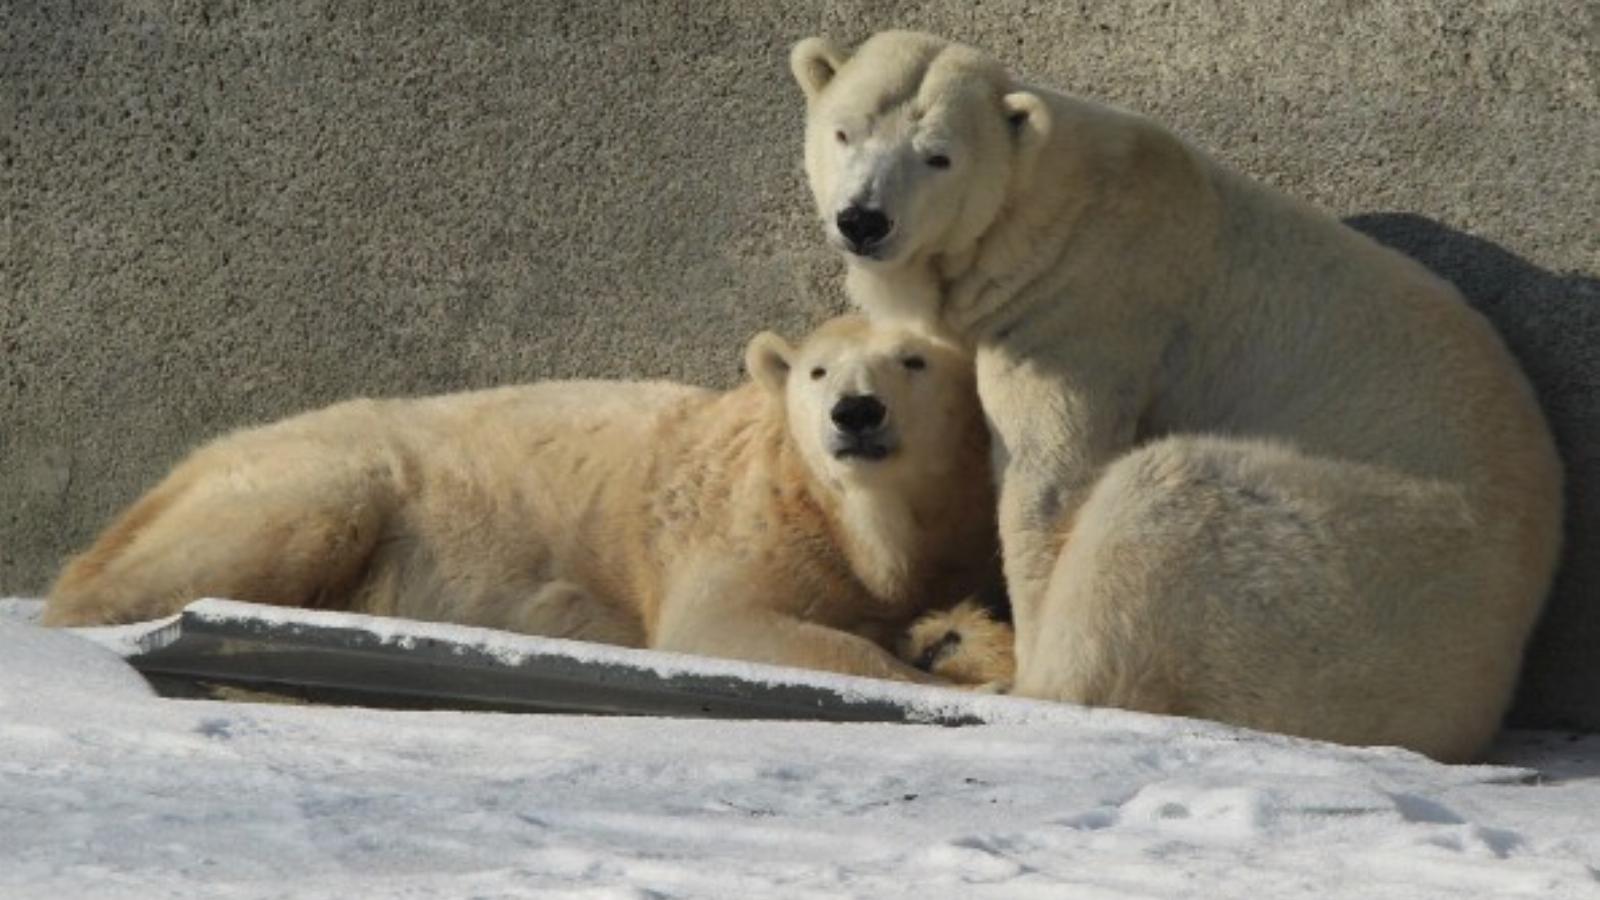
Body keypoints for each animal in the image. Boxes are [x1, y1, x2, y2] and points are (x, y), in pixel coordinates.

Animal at [46, 315, 998, 679]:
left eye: (914, 360)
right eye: (818, 370)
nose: (856, 412)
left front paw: (950, 638)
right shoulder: (750, 523)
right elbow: (727, 624)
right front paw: (922, 660)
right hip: (326, 473)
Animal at [793, 29, 1568, 755]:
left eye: (938, 157)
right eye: (846, 131)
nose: (863, 219)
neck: (1052, 209)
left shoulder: (1083, 306)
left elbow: (1049, 479)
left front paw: (1022, 656)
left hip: (1362, 571)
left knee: (1165, 500)